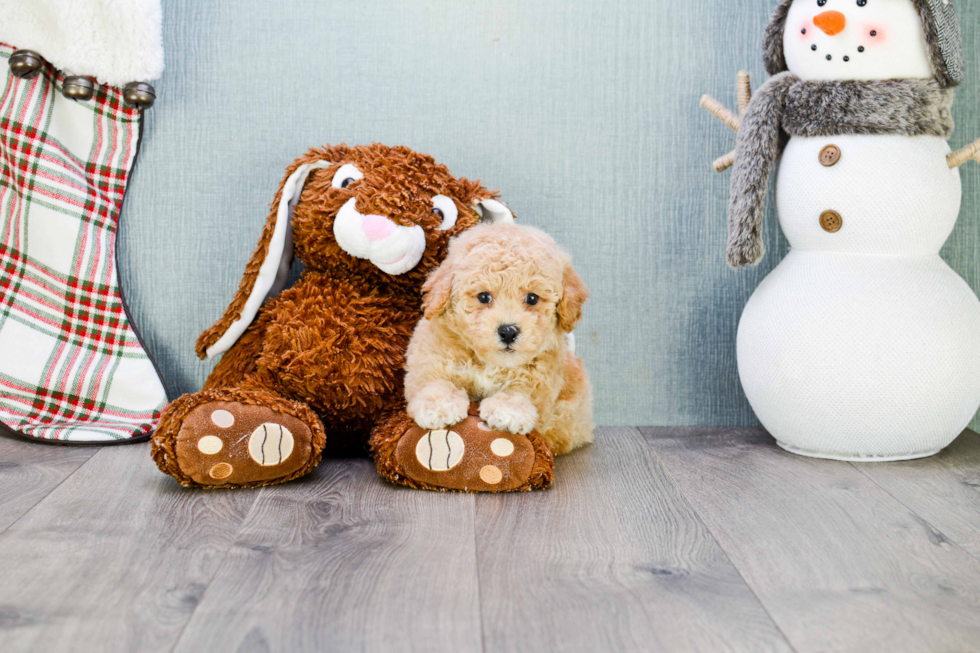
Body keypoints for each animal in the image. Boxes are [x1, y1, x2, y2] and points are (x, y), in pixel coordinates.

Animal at [404, 223, 592, 454]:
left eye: (532, 298)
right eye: (484, 297)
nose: (508, 331)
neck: (490, 363)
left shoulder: (543, 378)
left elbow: (521, 391)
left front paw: (508, 411)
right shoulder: (432, 353)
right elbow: (434, 380)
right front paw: (439, 406)